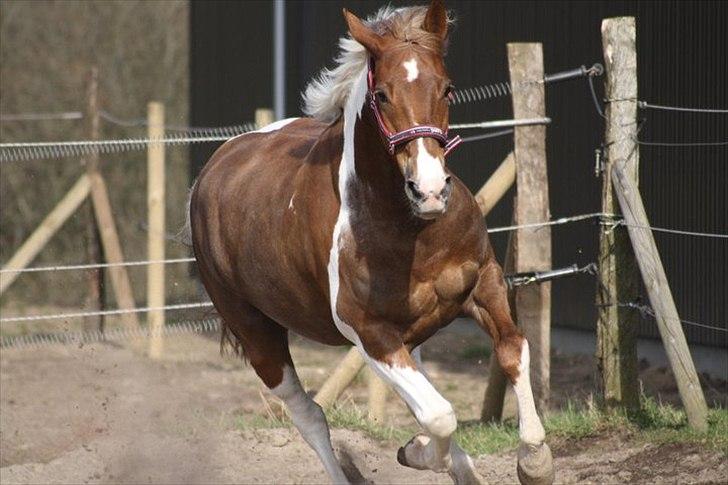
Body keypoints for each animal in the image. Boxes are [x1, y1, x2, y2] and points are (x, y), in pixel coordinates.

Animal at [191, 1, 556, 482]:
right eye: (381, 95)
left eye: (448, 89)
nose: (430, 190)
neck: (413, 230)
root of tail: (213, 168)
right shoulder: (370, 332)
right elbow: (439, 415)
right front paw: (418, 453)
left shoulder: (485, 284)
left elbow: (514, 351)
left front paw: (534, 459)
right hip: (257, 333)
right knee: (309, 414)